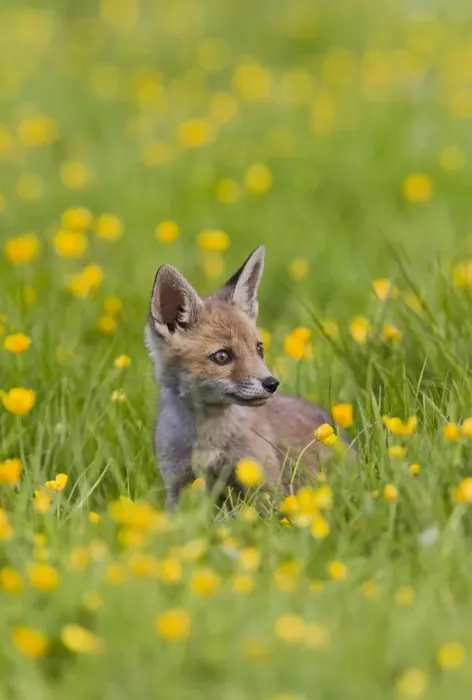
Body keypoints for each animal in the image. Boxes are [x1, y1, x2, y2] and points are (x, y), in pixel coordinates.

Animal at [145, 245, 352, 507]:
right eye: (222, 356)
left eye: (259, 348)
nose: (272, 383)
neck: (208, 437)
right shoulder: (178, 484)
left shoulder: (264, 485)